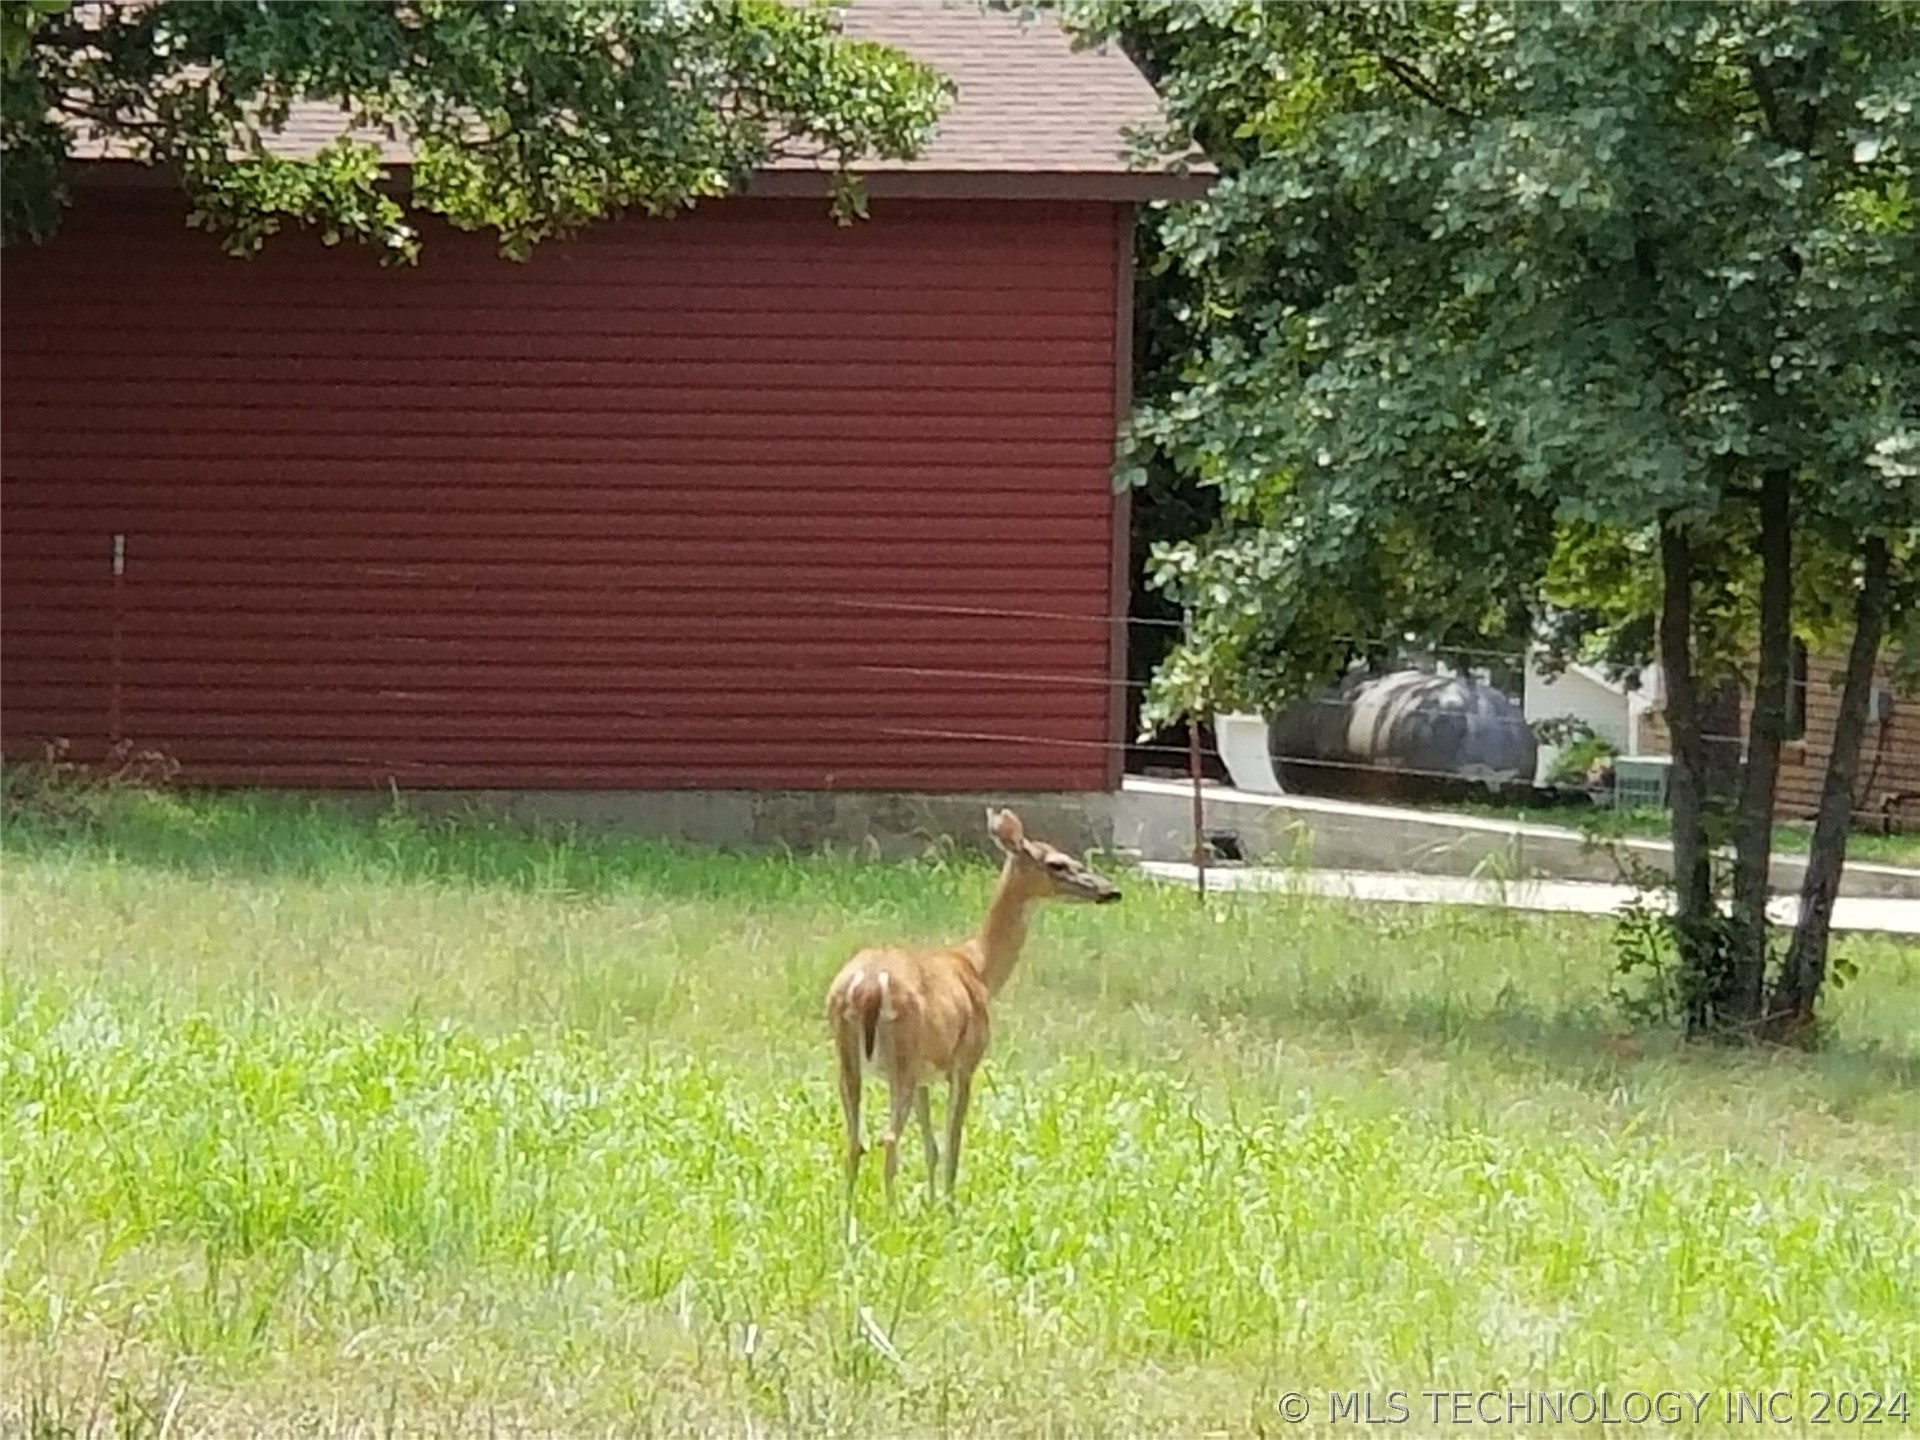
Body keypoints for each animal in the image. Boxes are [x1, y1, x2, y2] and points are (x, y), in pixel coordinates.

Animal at [821, 806, 1121, 1213]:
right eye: (1057, 863)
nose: (1110, 890)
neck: (976, 966)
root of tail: (867, 986)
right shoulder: (964, 1062)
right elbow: (953, 1144)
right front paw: (948, 1208)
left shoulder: (927, 1074)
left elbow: (931, 1146)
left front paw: (932, 1204)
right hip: (902, 1056)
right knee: (888, 1138)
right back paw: (890, 1213)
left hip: (851, 1060)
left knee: (855, 1142)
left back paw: (848, 1217)